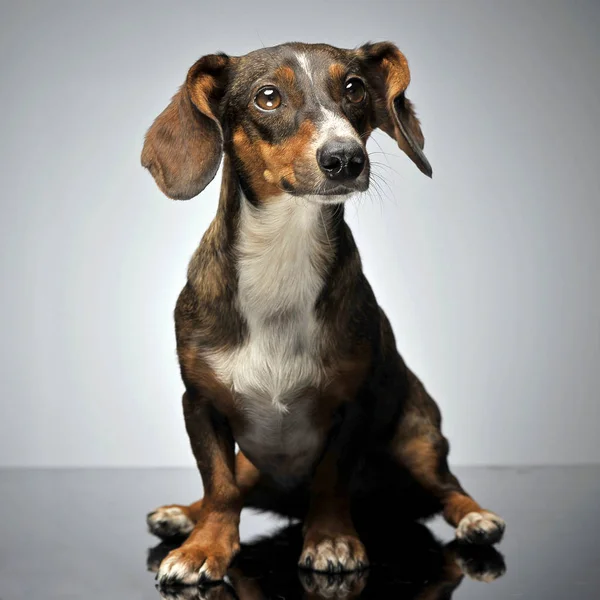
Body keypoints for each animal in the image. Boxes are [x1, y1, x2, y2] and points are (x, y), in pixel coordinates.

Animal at [142, 41, 506, 584]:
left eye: (354, 88)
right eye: (267, 96)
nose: (345, 158)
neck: (282, 254)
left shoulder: (353, 404)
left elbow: (332, 477)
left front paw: (331, 540)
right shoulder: (200, 403)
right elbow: (219, 486)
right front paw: (204, 547)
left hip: (419, 436)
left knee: (447, 488)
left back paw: (475, 517)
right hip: (255, 461)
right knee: (233, 487)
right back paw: (183, 515)